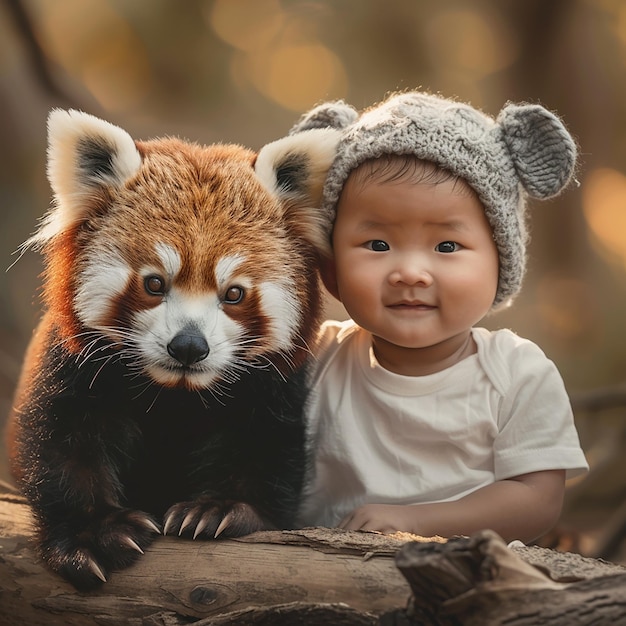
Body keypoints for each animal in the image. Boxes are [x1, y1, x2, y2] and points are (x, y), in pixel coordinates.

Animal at [6, 109, 336, 588]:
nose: (189, 346)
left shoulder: (275, 386)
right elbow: (62, 444)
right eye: (154, 283)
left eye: (234, 294)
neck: (174, 395)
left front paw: (220, 509)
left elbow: (267, 448)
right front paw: (93, 533)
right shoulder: (73, 365)